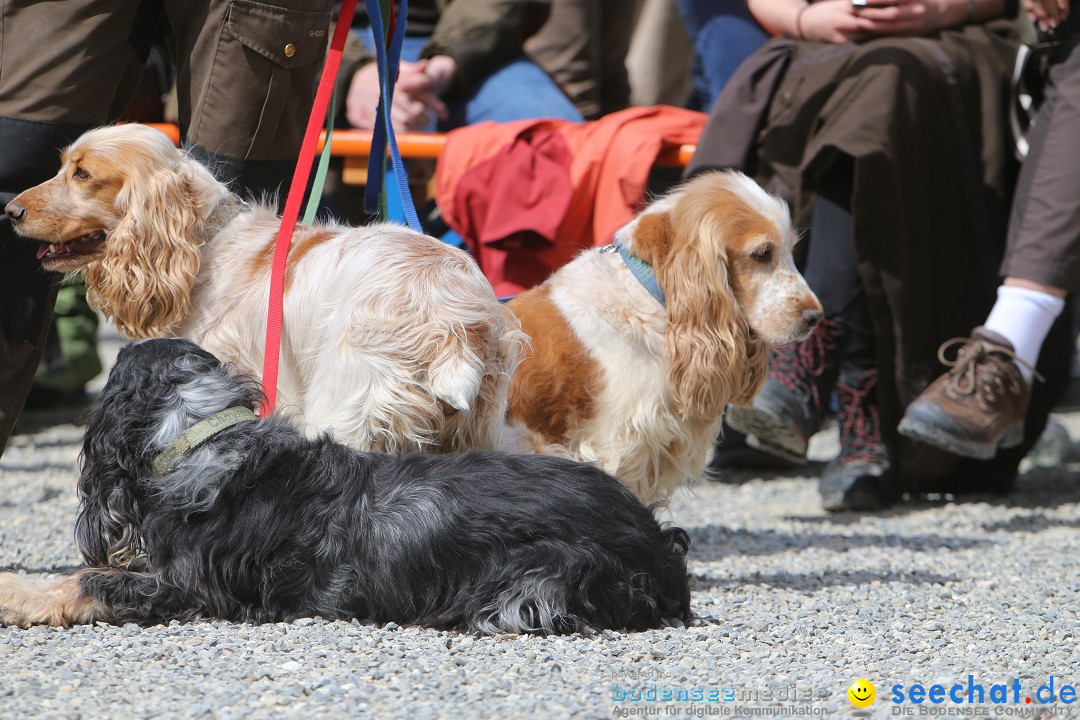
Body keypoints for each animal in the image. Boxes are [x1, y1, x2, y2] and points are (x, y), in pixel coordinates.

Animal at [0, 341, 691, 634]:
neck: (201, 435)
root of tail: (654, 540)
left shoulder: (190, 589)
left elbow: (91, 581)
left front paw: (17, 596)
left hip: (533, 587)